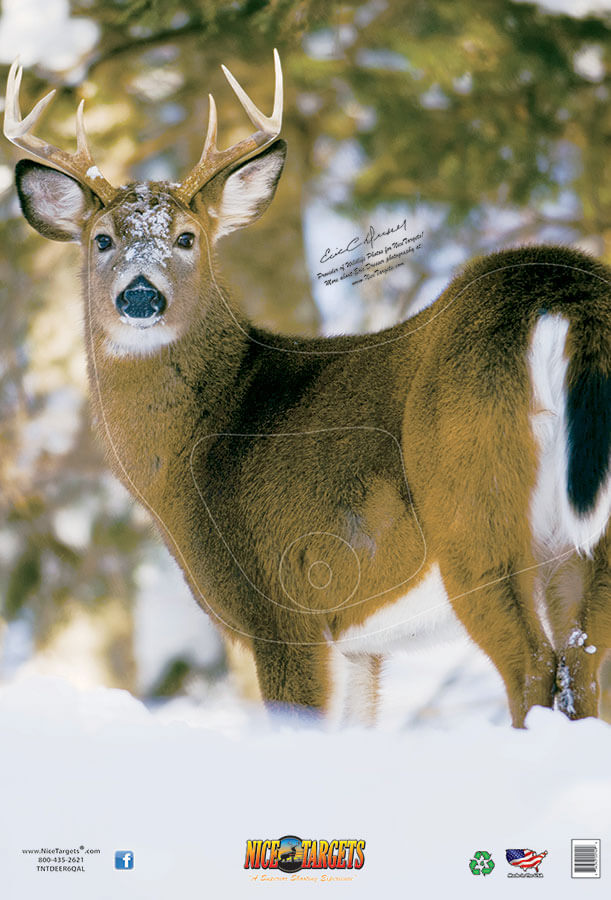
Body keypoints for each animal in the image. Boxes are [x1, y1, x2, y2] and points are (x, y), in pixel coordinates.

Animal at [4, 52, 611, 729]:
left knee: (532, 668)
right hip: (584, 546)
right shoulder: (359, 644)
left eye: (188, 237)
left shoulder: (282, 603)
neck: (198, 449)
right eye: (102, 239)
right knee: (582, 671)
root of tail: (559, 291)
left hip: (474, 499)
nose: (140, 295)